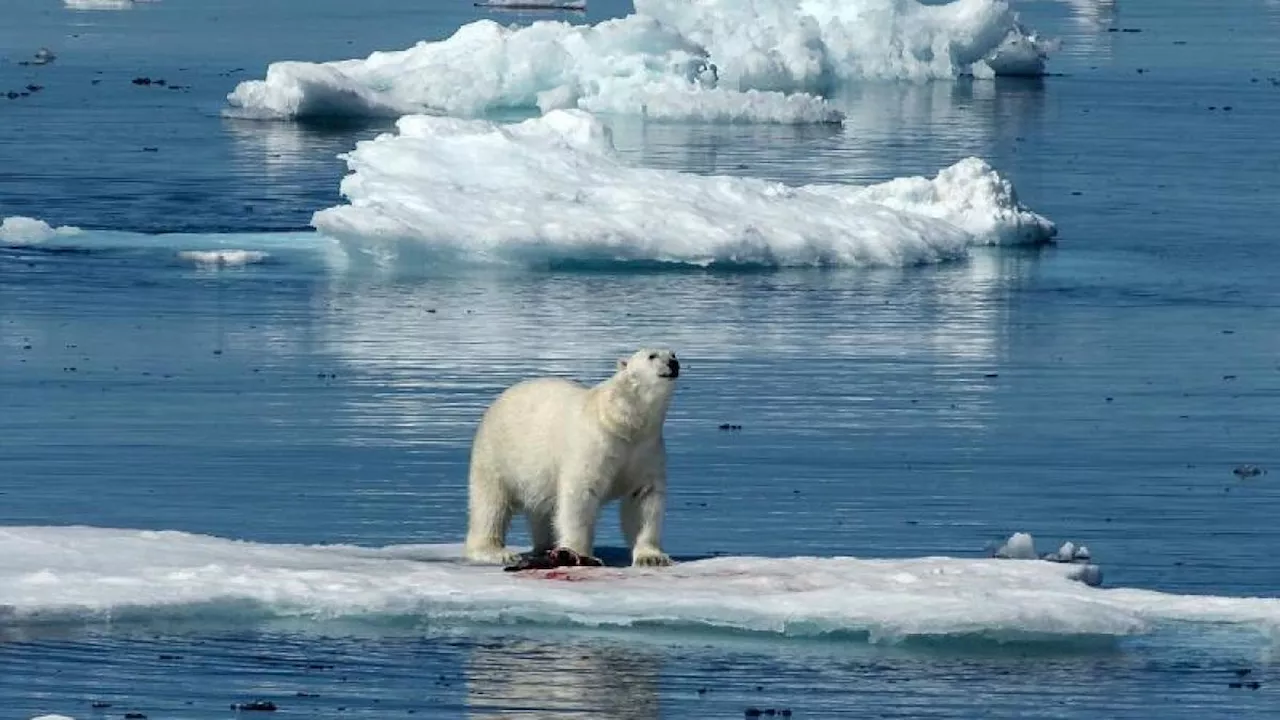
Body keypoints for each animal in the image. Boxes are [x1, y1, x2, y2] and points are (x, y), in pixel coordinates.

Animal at [460, 348, 680, 566]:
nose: (673, 364)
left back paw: (546, 547)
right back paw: (497, 551)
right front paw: (579, 554)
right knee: (490, 504)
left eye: (673, 354)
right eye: (652, 356)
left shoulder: (645, 448)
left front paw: (652, 557)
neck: (623, 422)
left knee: (543, 509)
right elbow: (580, 496)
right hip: (496, 455)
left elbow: (644, 498)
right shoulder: (594, 444)